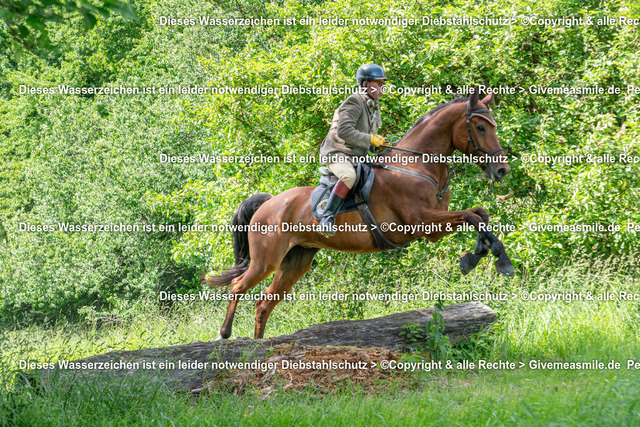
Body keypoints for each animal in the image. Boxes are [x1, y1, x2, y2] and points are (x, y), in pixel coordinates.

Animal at [208, 88, 512, 340]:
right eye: (481, 127)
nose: (501, 170)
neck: (415, 164)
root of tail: (269, 203)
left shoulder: (434, 229)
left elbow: (480, 215)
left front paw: (484, 255)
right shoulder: (422, 222)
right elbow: (473, 217)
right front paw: (490, 259)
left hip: (296, 261)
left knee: (264, 304)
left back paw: (258, 347)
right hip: (266, 260)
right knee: (237, 285)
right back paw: (224, 334)